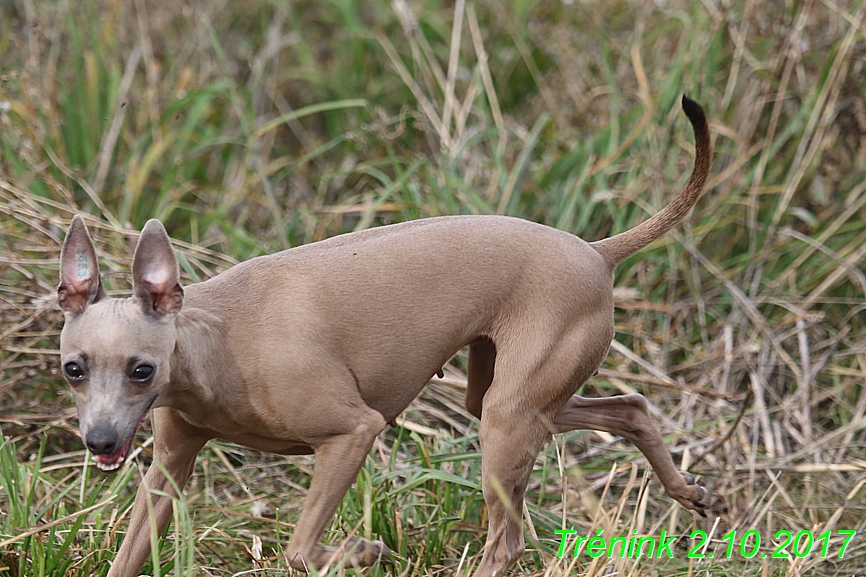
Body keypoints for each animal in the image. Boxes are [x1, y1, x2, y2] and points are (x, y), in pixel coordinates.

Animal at [59, 97, 708, 576]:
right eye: (74, 369)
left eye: (142, 369)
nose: (98, 441)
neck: (213, 344)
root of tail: (595, 251)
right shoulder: (169, 466)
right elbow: (128, 555)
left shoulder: (353, 432)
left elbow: (300, 549)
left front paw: (359, 550)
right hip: (506, 400)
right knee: (630, 406)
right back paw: (687, 490)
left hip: (507, 419)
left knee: (506, 544)